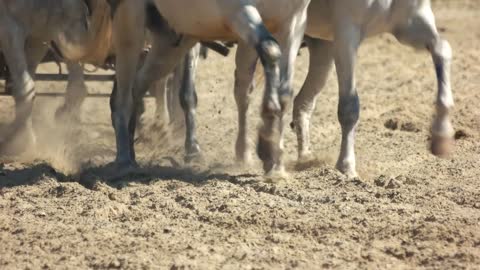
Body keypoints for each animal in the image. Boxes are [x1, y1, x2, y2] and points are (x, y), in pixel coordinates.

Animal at [109, 0, 312, 175]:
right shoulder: (238, 11)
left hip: (173, 40)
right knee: (123, 96)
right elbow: (270, 49)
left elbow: (285, 92)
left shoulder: (294, 21)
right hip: (129, 20)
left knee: (138, 85)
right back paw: (124, 160)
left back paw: (132, 148)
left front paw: (273, 157)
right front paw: (268, 144)